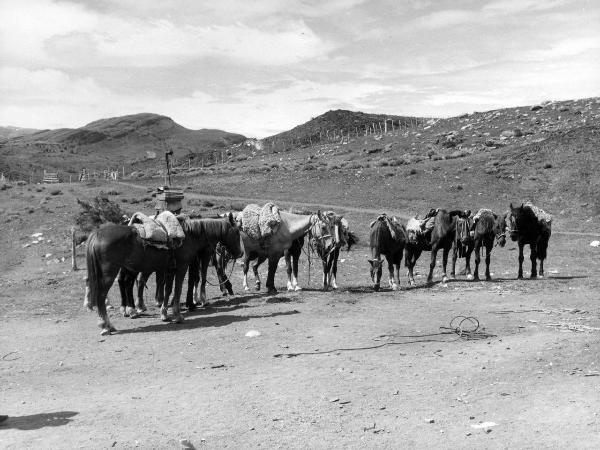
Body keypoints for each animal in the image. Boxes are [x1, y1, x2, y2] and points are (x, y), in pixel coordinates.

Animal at [85, 214, 244, 334]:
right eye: (237, 232)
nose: (241, 253)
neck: (189, 235)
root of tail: (97, 234)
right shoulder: (181, 267)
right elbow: (178, 289)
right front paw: (178, 315)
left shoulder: (169, 269)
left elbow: (167, 290)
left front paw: (165, 314)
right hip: (109, 274)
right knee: (102, 296)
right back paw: (107, 325)